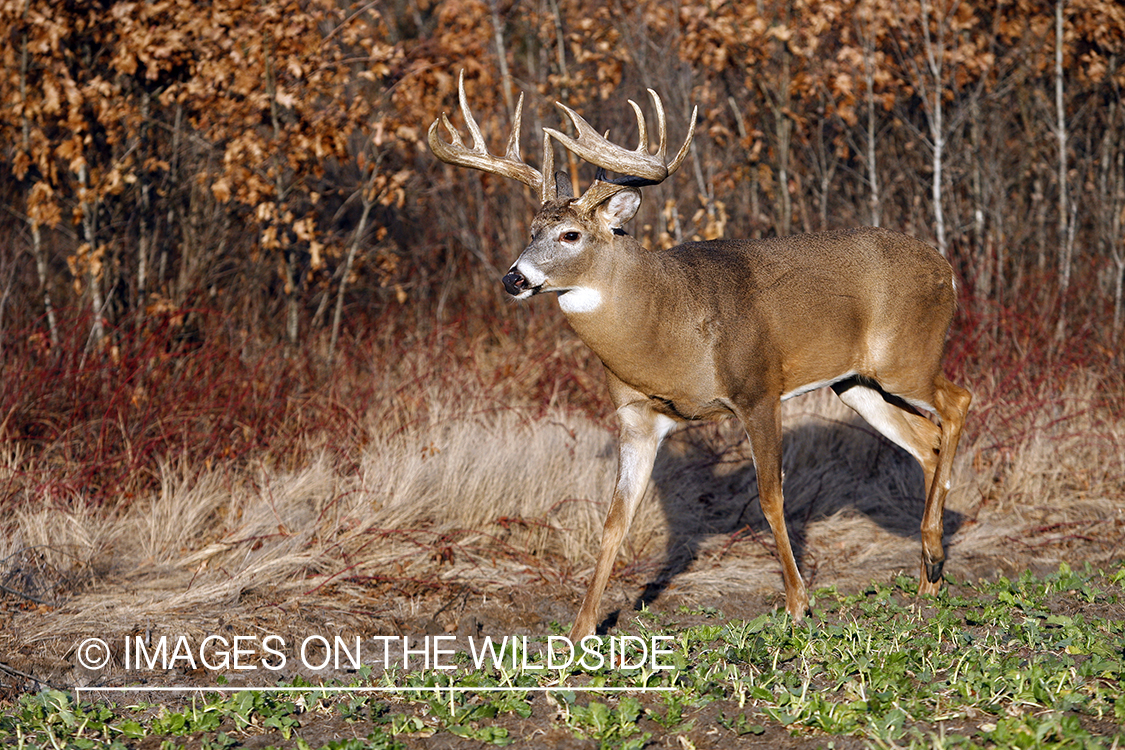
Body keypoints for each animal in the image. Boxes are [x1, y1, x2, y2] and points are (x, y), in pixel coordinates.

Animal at [425, 73, 972, 643]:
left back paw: (934, 552)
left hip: (907, 355)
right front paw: (579, 632)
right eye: (531, 231)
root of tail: (947, 268)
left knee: (958, 402)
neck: (670, 329)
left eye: (570, 234)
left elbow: (771, 497)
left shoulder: (757, 389)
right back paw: (928, 578)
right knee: (927, 441)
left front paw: (798, 605)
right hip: (856, 383)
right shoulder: (637, 417)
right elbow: (616, 520)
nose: (513, 278)